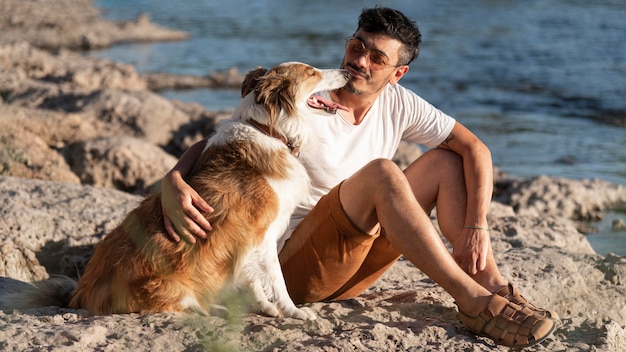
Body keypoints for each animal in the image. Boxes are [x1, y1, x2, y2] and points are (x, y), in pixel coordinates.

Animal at [3, 62, 346, 320]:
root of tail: (79, 294)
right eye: (312, 72)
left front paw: (267, 308)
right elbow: (276, 280)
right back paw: (217, 308)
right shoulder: (260, 234)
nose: (345, 71)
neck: (268, 129)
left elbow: (253, 279)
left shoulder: (246, 241)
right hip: (172, 285)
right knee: (191, 307)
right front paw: (294, 312)